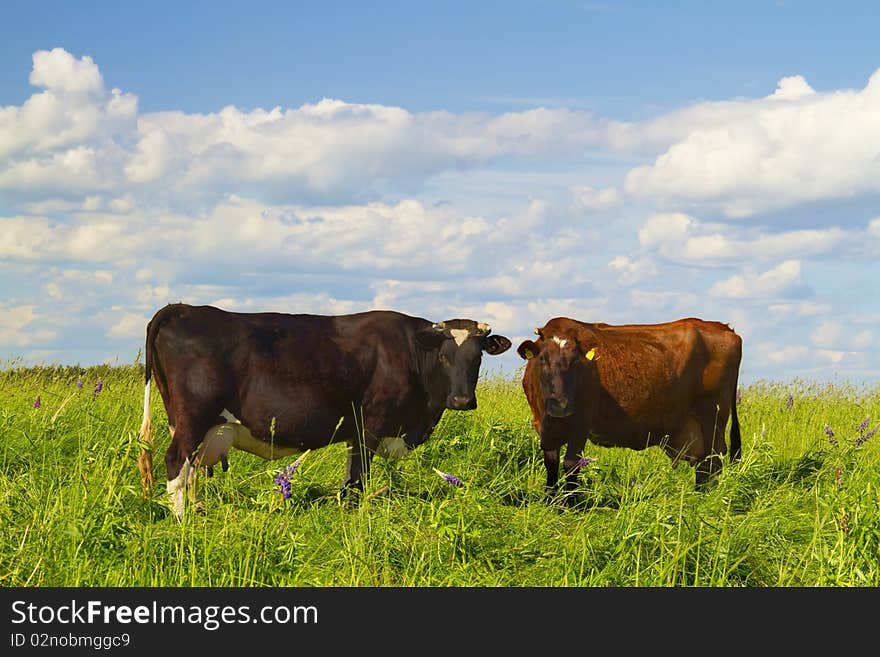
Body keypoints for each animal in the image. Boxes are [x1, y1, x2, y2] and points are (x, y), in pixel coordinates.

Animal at [134, 304, 512, 516]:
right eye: (444, 357)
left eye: (477, 357)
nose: (462, 401)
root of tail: (182, 307)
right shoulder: (370, 424)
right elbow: (358, 479)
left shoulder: (355, 432)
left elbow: (349, 478)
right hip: (193, 418)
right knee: (175, 461)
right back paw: (183, 520)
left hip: (195, 424)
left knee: (192, 469)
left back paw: (198, 512)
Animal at [516, 316, 744, 494]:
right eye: (543, 360)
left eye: (576, 363)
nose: (561, 406)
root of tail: (723, 327)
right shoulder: (543, 426)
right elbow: (551, 463)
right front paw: (550, 499)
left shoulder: (580, 426)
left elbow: (571, 464)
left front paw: (569, 503)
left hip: (712, 418)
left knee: (713, 462)